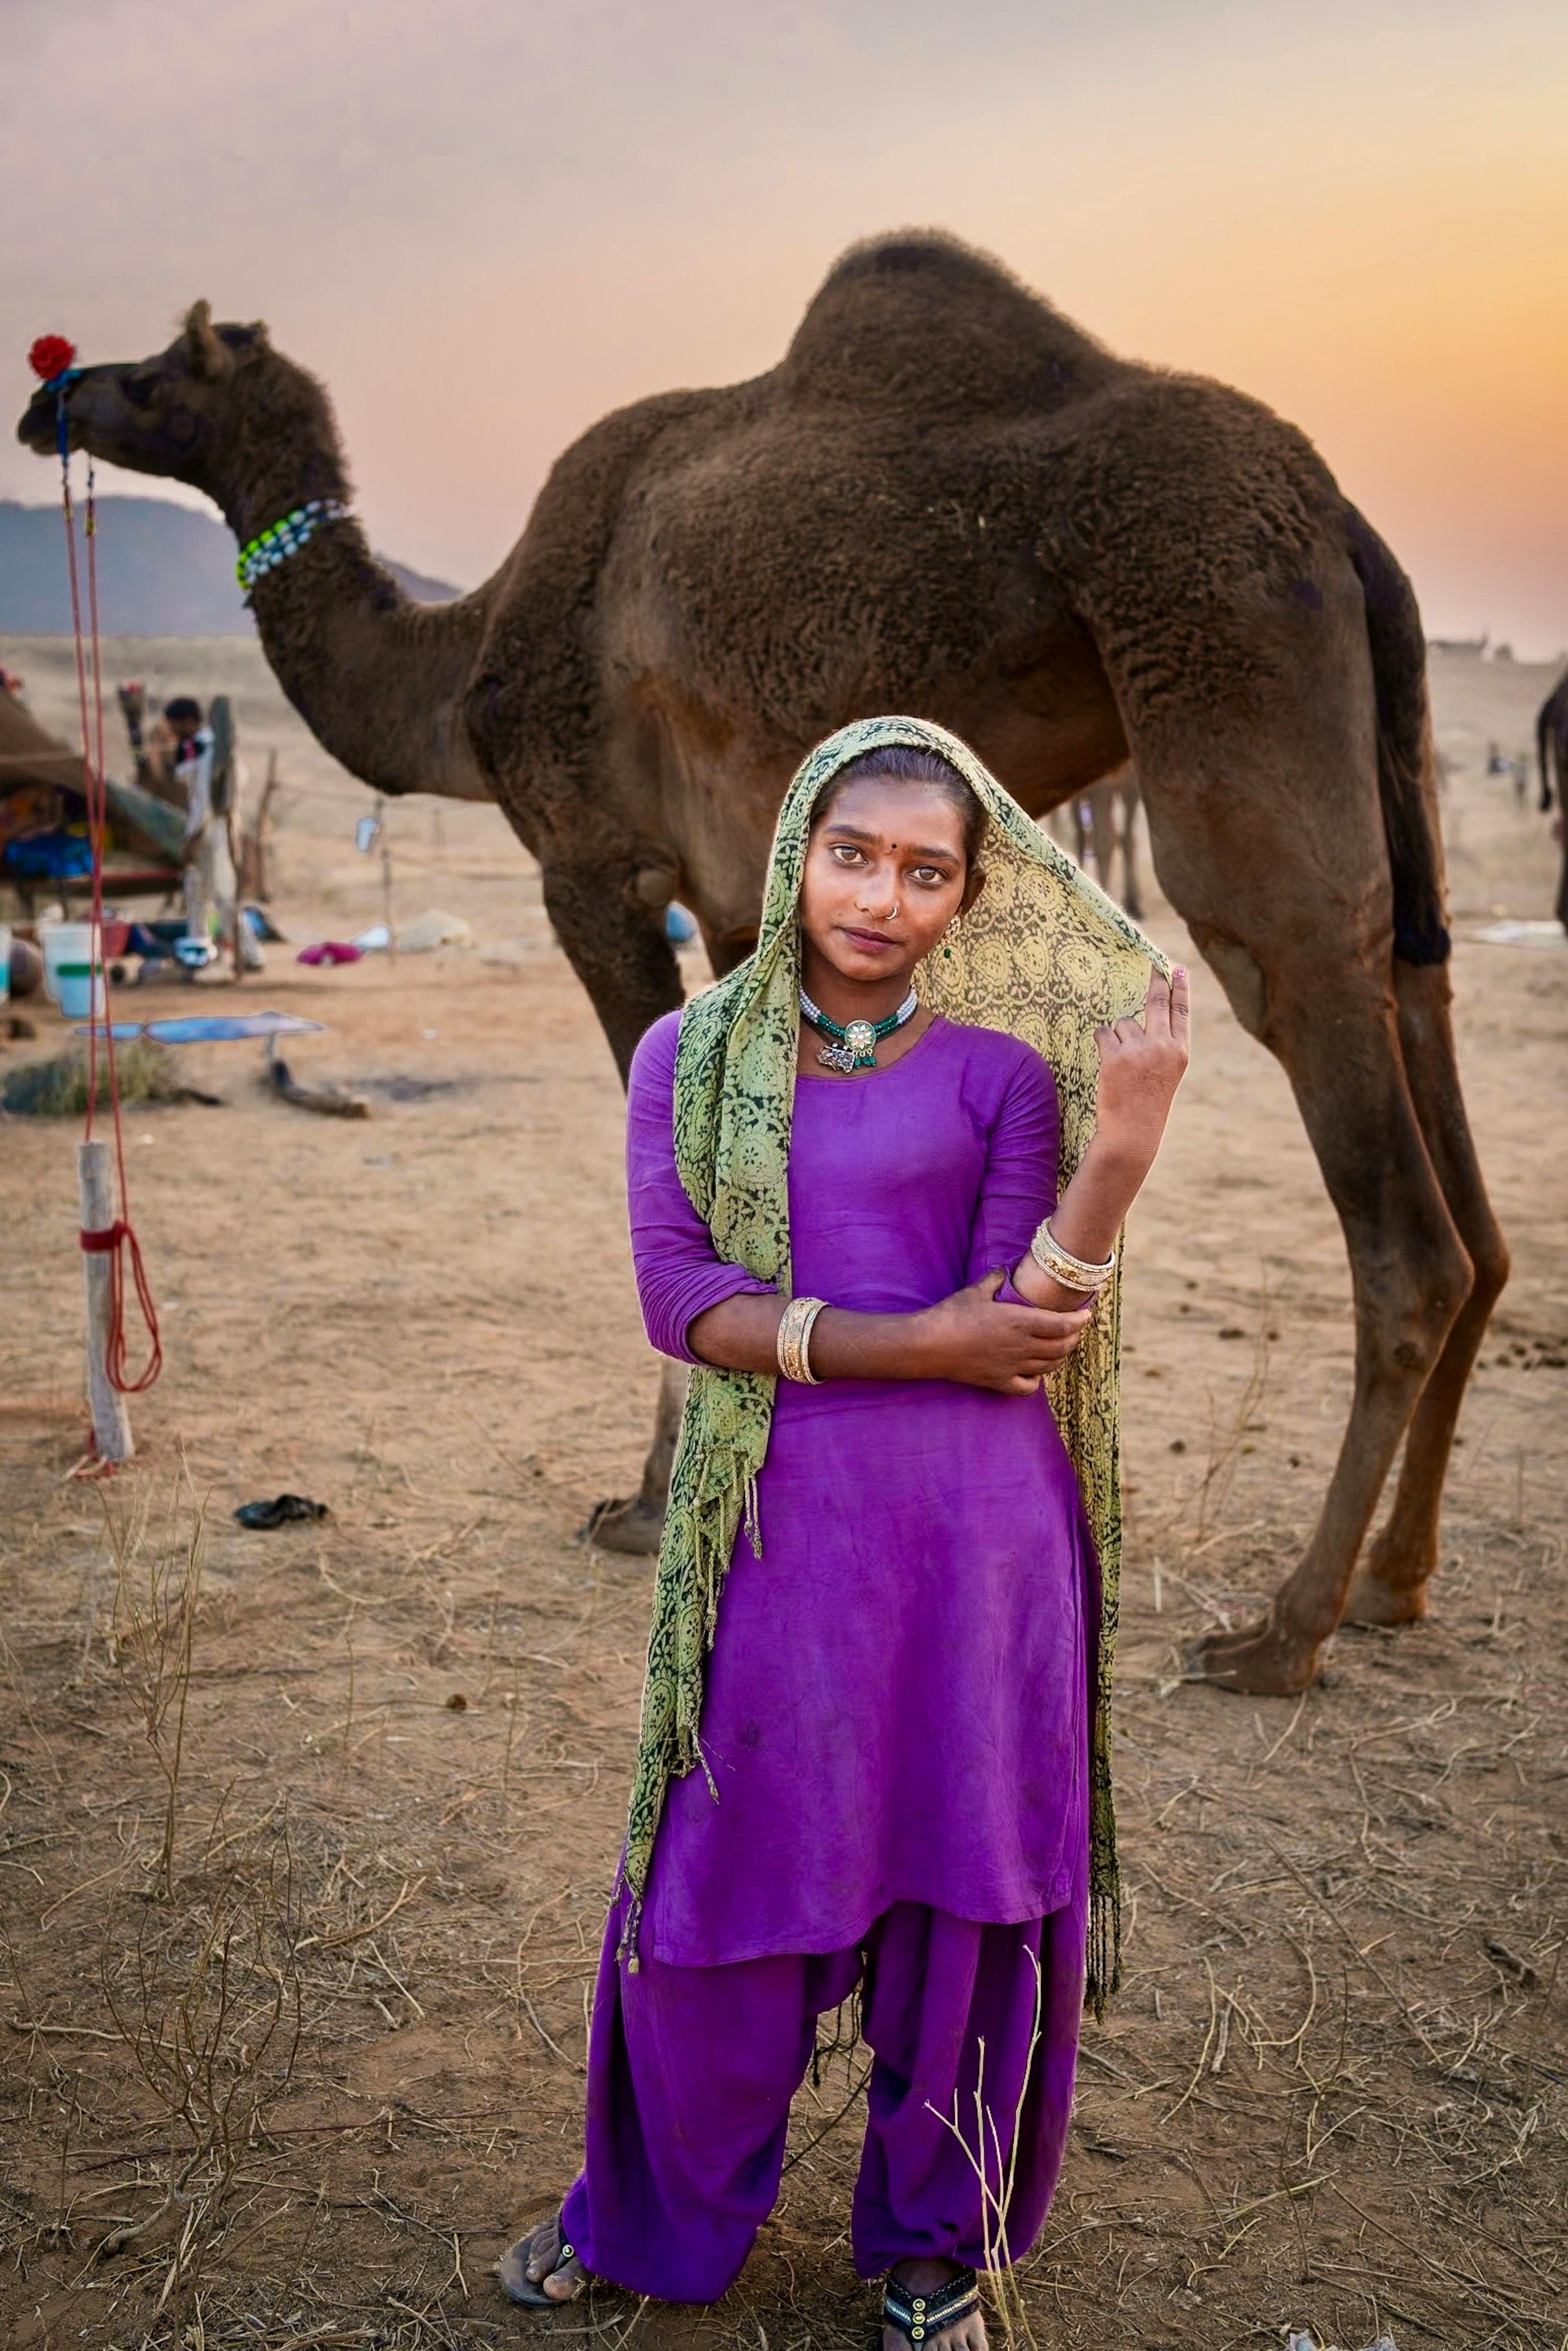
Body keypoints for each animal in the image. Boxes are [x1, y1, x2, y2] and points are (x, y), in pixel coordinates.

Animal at [18, 234, 1514, 1692]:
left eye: (155, 372)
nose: (51, 400)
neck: (463, 666)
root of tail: (1343, 521)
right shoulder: (751, 901)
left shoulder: (594, 864)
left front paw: (642, 1502)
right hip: (1386, 795)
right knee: (1458, 1137)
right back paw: (1397, 1580)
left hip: (1232, 676)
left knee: (1390, 1191)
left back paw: (1282, 1631)